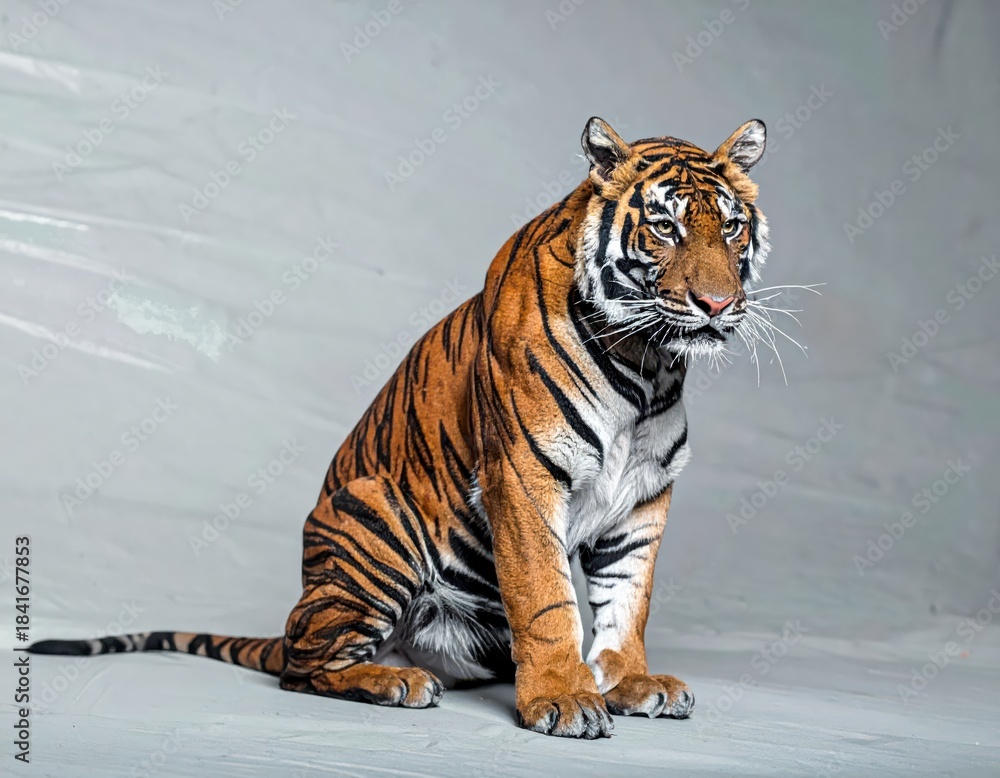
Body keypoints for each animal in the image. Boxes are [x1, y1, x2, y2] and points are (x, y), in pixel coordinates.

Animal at [30, 116, 771, 739]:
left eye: (732, 229)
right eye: (666, 227)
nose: (717, 304)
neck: (648, 363)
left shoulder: (644, 497)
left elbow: (626, 599)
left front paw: (628, 682)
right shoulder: (524, 478)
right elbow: (546, 598)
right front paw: (563, 697)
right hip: (377, 516)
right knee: (299, 663)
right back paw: (395, 683)